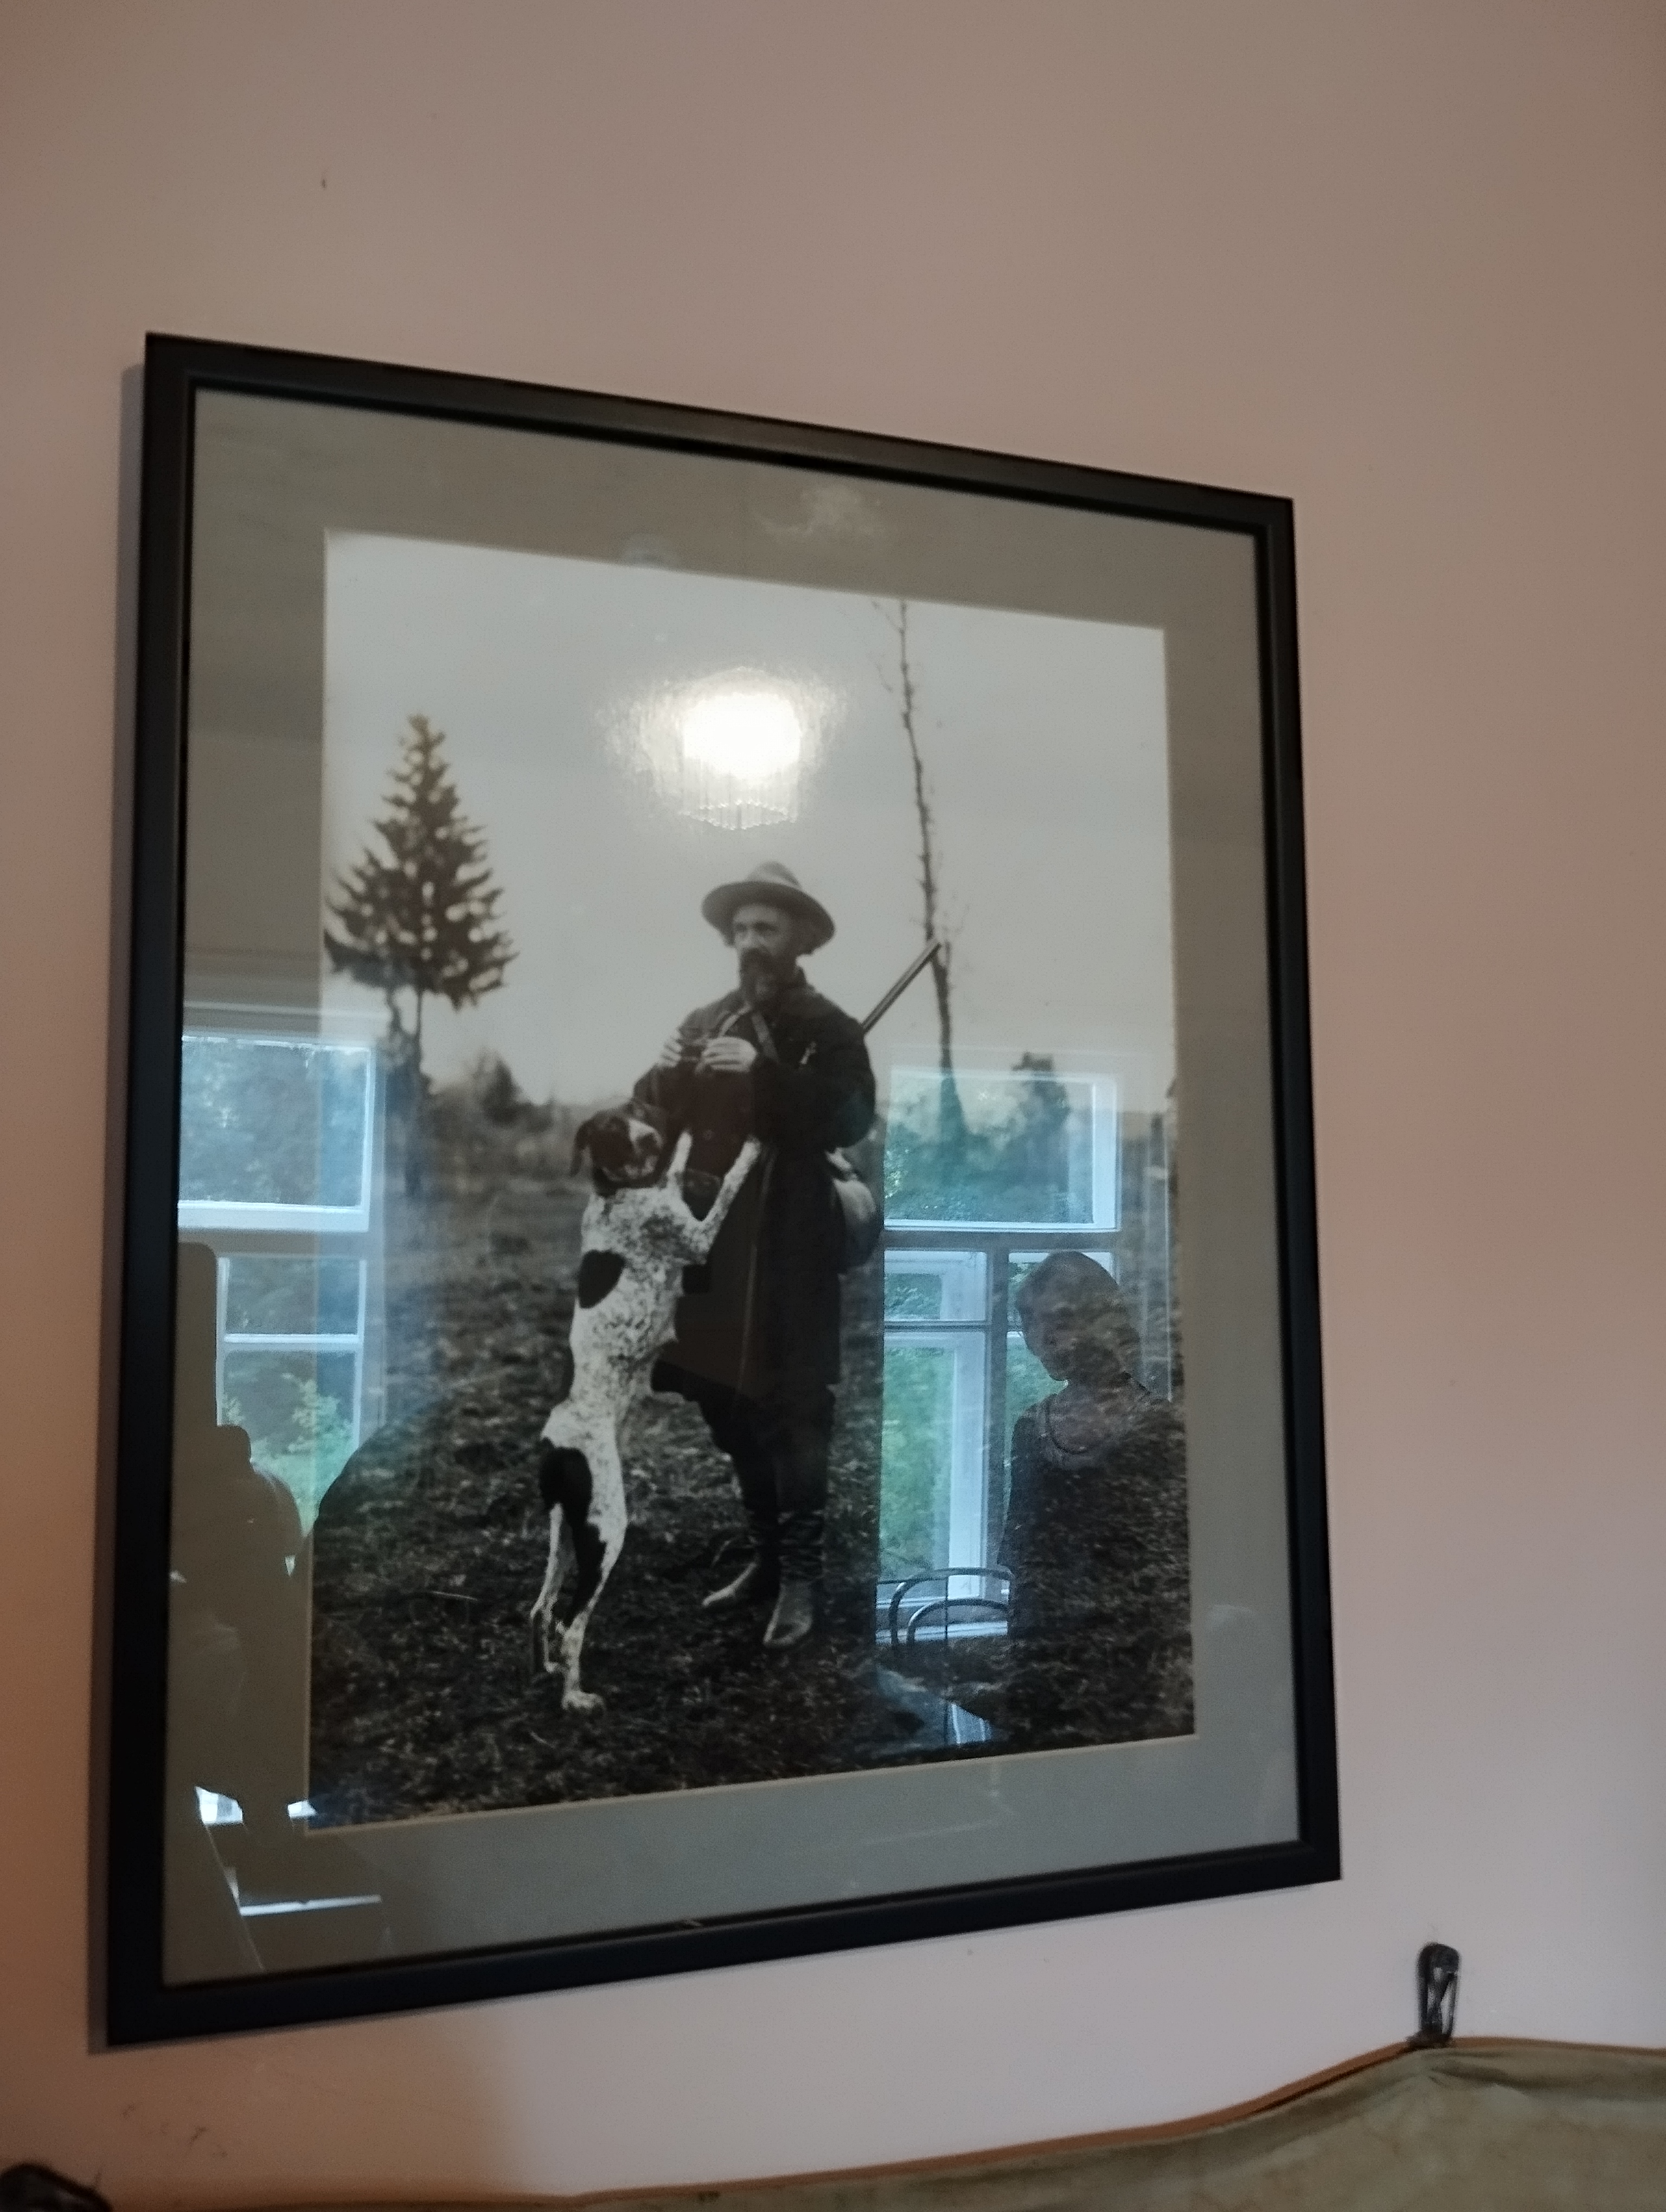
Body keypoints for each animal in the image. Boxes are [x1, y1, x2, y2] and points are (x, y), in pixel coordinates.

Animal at [530, 1106, 761, 1711]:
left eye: (633, 1113)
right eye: (613, 1126)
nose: (654, 1127)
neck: (616, 1191)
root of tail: (551, 1450)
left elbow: (680, 1172)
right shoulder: (695, 1235)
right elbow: (718, 1176)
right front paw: (744, 1144)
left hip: (567, 1535)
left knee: (541, 1610)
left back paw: (547, 1669)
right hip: (606, 1529)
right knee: (572, 1624)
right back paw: (575, 1697)